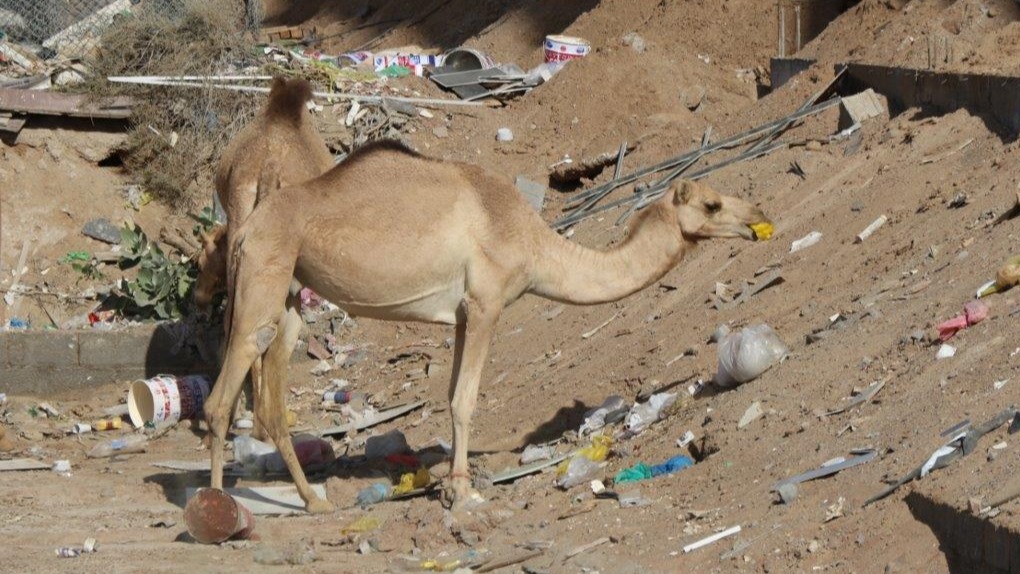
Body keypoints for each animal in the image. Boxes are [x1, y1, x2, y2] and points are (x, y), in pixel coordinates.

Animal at [203, 141, 771, 513]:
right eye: (712, 204)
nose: (757, 216)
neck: (535, 244)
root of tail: (247, 224)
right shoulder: (486, 303)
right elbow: (465, 399)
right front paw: (463, 490)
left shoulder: (460, 315)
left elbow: (452, 391)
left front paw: (454, 483)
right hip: (263, 274)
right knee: (222, 394)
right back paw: (218, 507)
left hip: (290, 293)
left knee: (270, 398)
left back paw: (311, 502)